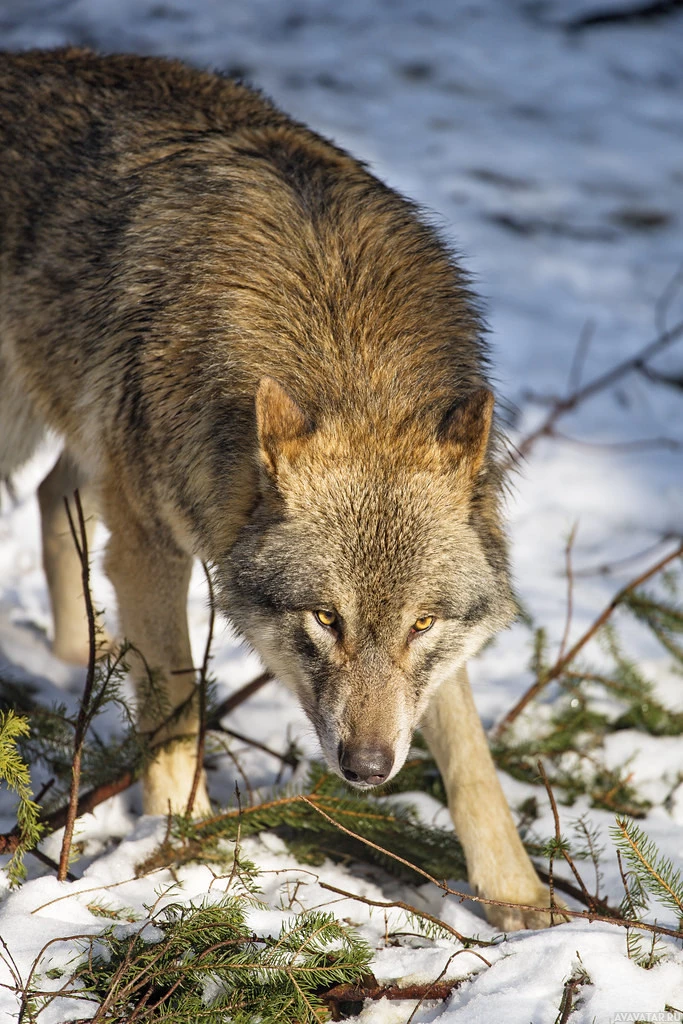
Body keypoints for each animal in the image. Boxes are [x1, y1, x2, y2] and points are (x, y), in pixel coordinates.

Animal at [0, 48, 557, 929]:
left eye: (421, 623)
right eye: (325, 619)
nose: (365, 768)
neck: (341, 345)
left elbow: (469, 754)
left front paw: (516, 895)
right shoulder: (152, 550)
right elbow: (177, 713)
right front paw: (180, 853)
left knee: (58, 496)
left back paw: (78, 663)